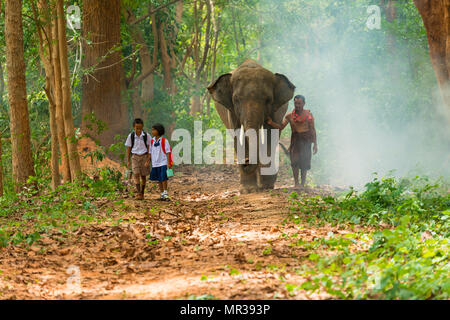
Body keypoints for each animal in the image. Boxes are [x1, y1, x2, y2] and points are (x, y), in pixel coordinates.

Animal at [207, 60, 296, 195]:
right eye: (236, 100)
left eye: (268, 100)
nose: (247, 161)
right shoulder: (231, 112)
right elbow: (238, 137)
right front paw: (248, 190)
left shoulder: (276, 111)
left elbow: (270, 135)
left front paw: (265, 186)